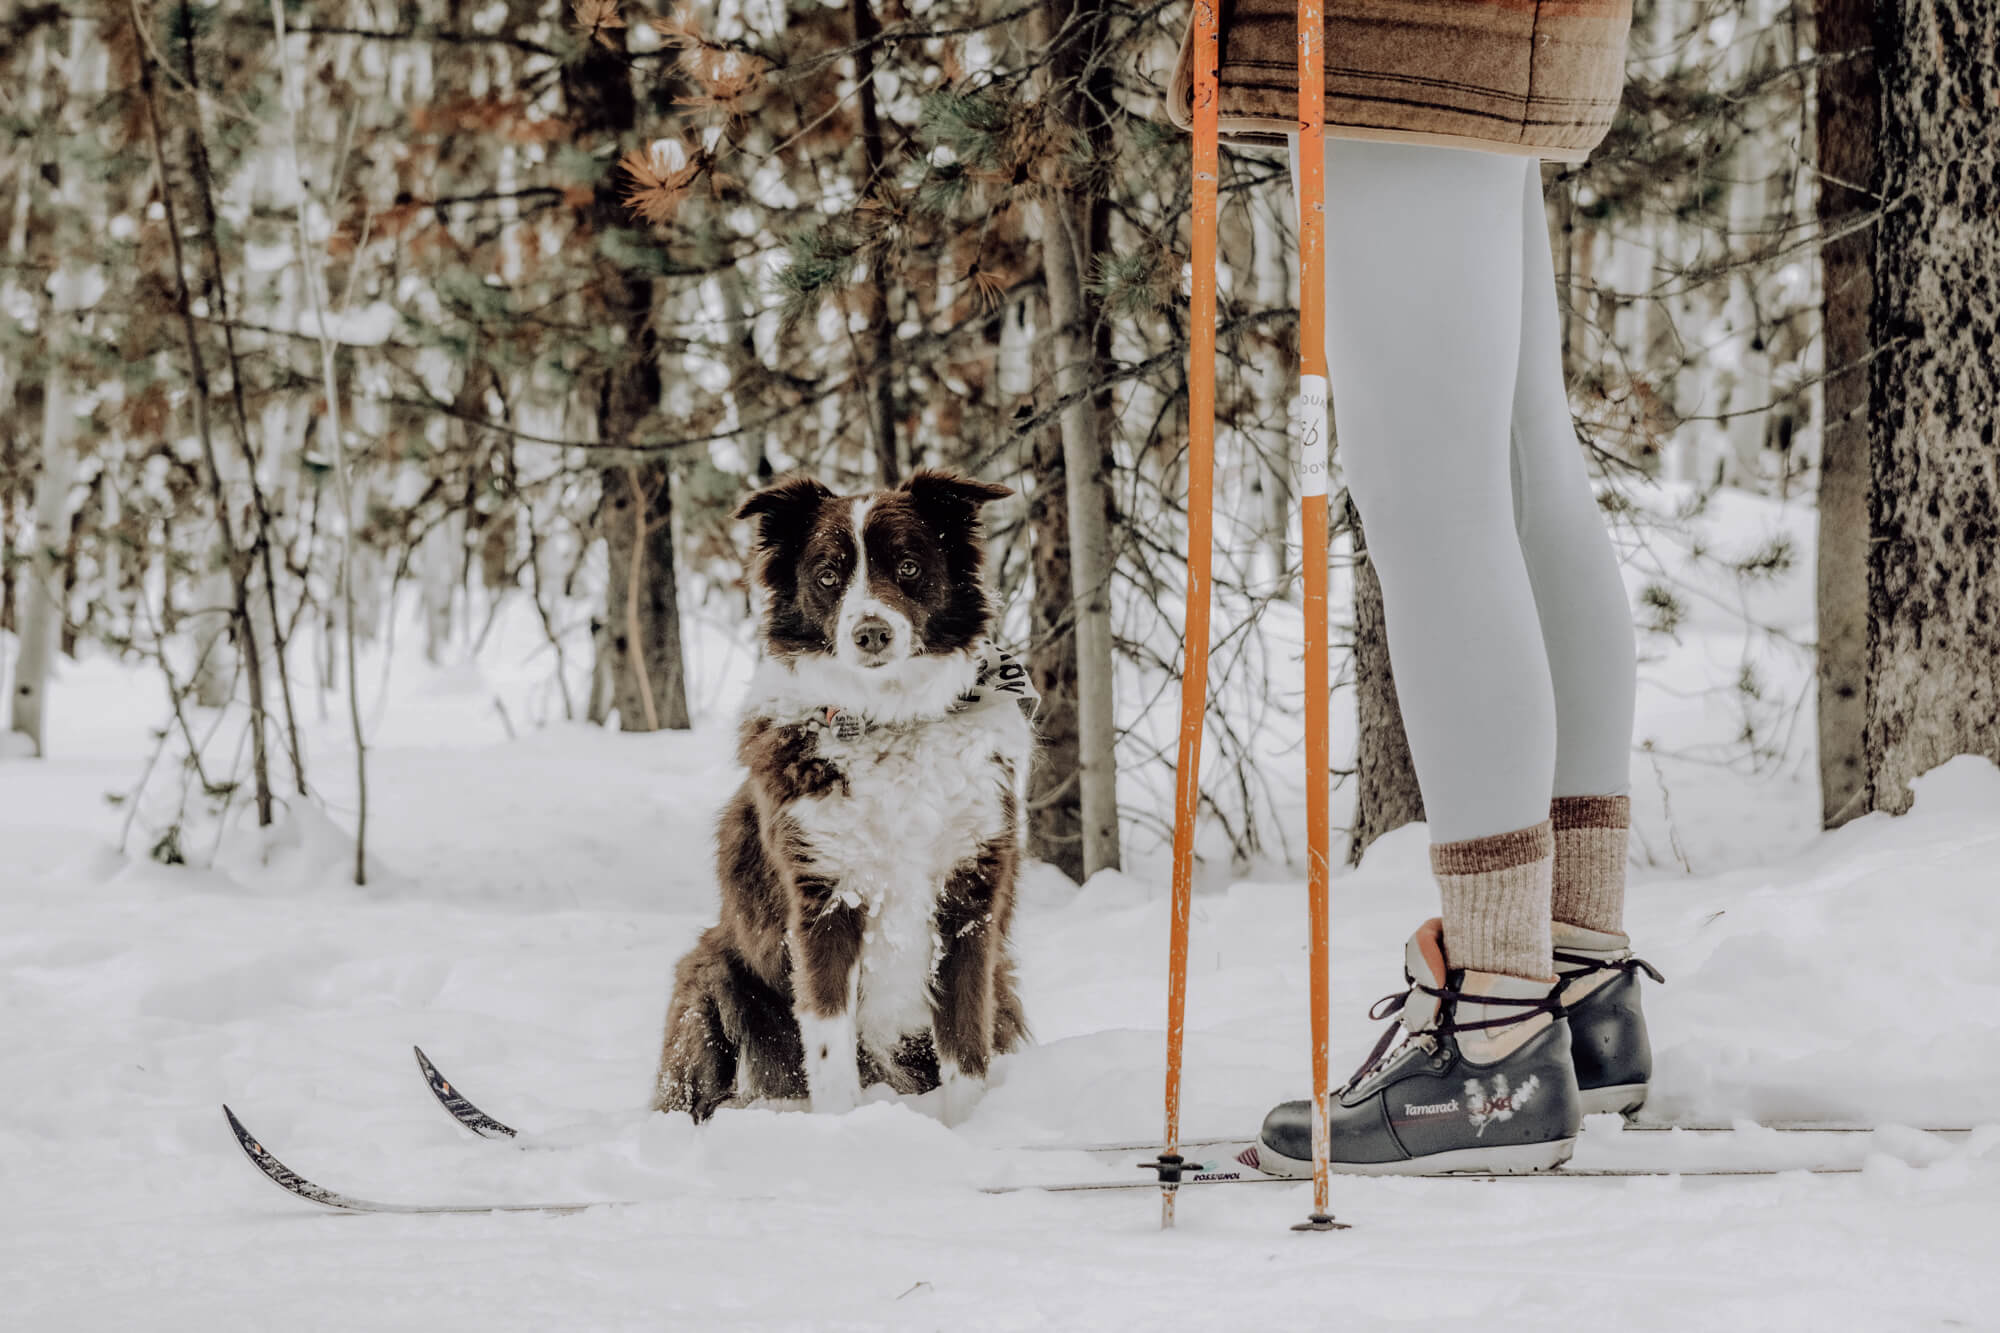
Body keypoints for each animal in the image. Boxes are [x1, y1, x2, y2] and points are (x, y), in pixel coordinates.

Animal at [656, 472, 1032, 1112]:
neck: (889, 719)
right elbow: (830, 1049)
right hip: (711, 976)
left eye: (908, 566)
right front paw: (840, 1127)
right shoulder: (825, 900)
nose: (870, 633)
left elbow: (965, 1046)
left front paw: (967, 1125)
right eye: (828, 576)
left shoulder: (968, 902)